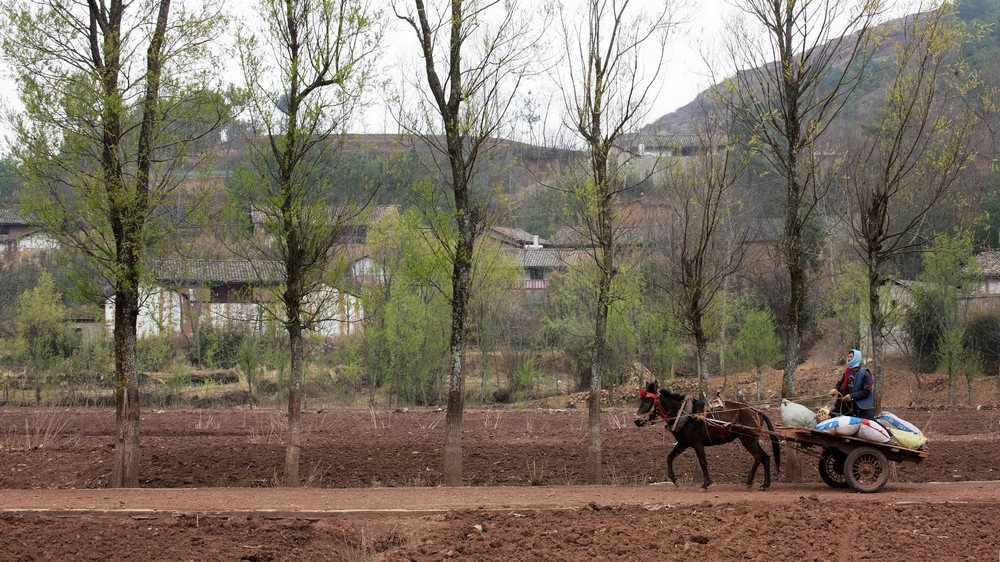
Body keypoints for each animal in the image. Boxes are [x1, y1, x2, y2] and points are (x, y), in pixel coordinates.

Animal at [632, 378, 780, 488]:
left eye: (648, 400)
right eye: (642, 400)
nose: (636, 420)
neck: (685, 414)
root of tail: (758, 412)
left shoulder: (697, 443)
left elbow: (703, 462)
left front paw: (706, 483)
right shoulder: (683, 443)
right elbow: (669, 457)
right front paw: (674, 479)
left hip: (747, 439)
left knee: (758, 457)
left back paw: (750, 480)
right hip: (752, 438)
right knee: (765, 457)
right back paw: (765, 484)